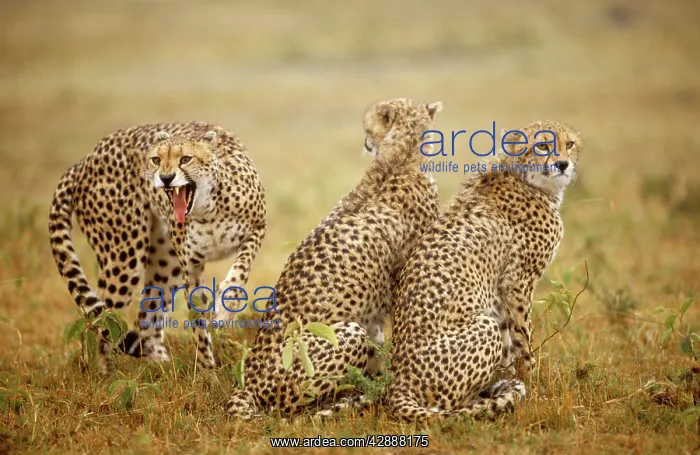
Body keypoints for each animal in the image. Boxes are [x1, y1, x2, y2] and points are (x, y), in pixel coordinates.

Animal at [48, 121, 266, 374]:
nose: (166, 177)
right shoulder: (190, 267)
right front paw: (207, 370)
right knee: (106, 317)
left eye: (186, 159)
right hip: (125, 256)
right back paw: (107, 374)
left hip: (166, 263)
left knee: (144, 318)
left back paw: (161, 366)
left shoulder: (257, 228)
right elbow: (197, 320)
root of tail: (86, 159)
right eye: (155, 159)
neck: (207, 210)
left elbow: (241, 269)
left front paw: (227, 305)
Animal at [224, 98, 443, 419]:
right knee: (295, 411)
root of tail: (248, 385)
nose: (365, 142)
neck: (398, 157)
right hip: (343, 337)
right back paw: (353, 400)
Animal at [385, 120, 583, 424]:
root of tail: (399, 382)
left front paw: (517, 379)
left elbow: (512, 342)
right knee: (449, 405)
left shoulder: (502, 292)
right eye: (542, 145)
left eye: (569, 144)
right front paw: (533, 389)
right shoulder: (517, 283)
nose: (562, 164)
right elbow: (523, 341)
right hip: (482, 329)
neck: (525, 178)